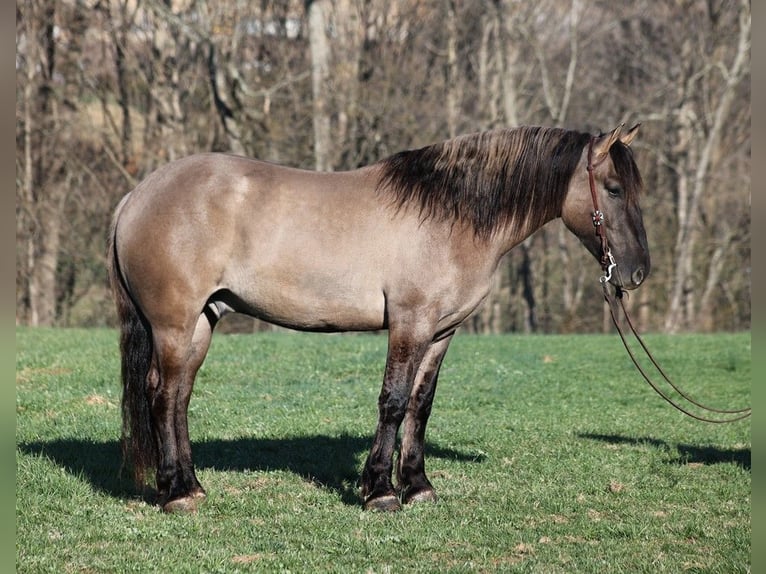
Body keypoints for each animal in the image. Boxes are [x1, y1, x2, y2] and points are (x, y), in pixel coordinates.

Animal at [106, 124, 648, 516]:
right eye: (613, 189)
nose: (637, 272)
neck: (449, 213)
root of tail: (136, 197)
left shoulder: (441, 332)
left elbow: (420, 406)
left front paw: (419, 486)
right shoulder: (410, 323)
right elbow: (393, 402)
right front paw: (381, 492)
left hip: (202, 321)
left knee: (178, 396)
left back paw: (191, 486)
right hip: (174, 325)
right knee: (162, 395)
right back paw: (176, 494)